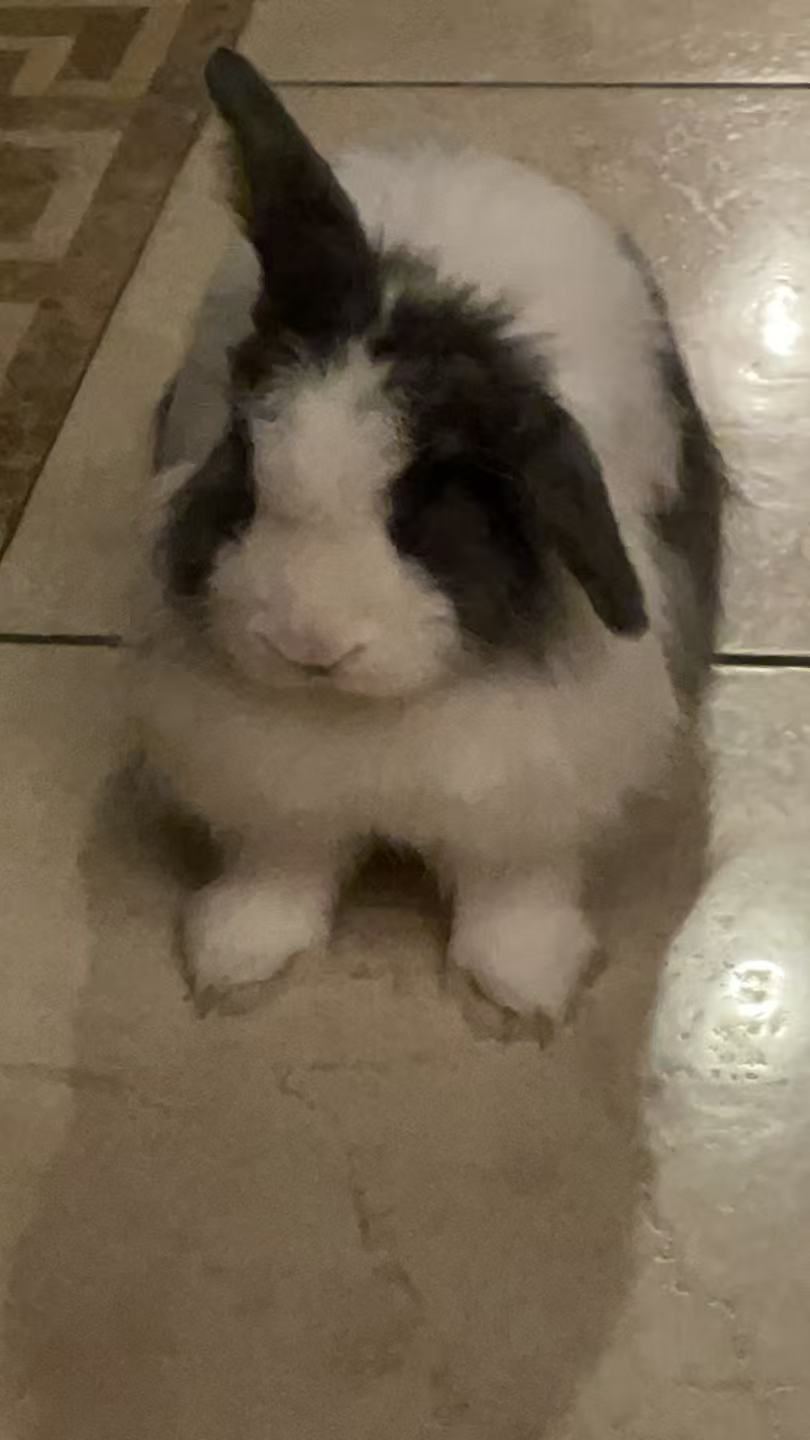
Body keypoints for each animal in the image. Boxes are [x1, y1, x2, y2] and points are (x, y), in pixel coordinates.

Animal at [136, 47, 724, 1020]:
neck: (364, 716)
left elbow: (510, 883)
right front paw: (237, 955)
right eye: (245, 463)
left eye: (423, 505)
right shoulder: (271, 793)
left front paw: (526, 984)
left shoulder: (529, 795)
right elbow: (282, 864)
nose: (310, 646)